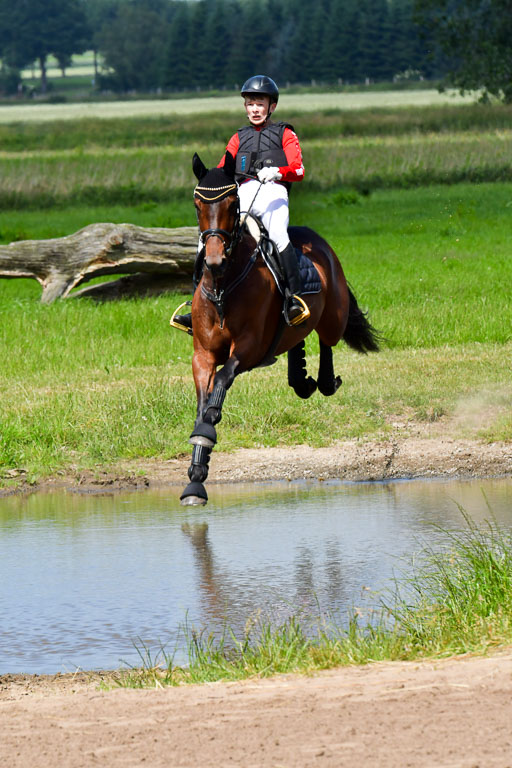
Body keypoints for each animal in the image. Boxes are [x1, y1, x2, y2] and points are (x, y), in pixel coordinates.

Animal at [178, 151, 379, 506]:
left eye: (232, 203)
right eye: (197, 204)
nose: (214, 260)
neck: (223, 287)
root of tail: (320, 244)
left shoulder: (249, 349)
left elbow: (222, 383)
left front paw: (207, 432)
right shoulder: (202, 355)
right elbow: (203, 402)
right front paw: (196, 476)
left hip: (333, 317)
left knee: (326, 341)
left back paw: (323, 380)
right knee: (298, 339)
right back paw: (300, 377)